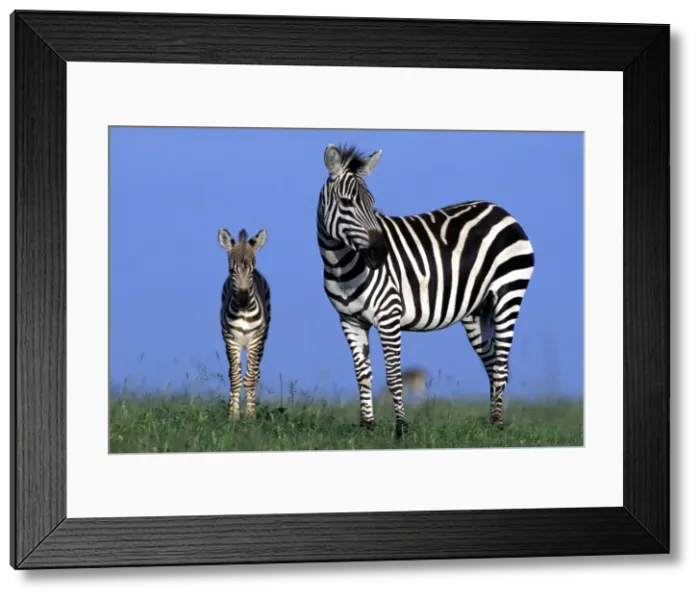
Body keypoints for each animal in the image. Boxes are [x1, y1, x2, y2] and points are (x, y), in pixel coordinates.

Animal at [217, 227, 271, 420]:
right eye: (231, 270)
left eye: (251, 270)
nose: (242, 299)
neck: (243, 312)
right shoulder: (230, 340)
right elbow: (235, 377)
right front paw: (233, 416)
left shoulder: (255, 341)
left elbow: (250, 378)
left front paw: (250, 416)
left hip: (262, 339)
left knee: (255, 373)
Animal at [316, 144, 535, 439]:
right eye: (346, 202)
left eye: (372, 203)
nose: (380, 253)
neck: (341, 265)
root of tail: (500, 210)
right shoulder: (350, 320)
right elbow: (363, 374)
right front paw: (368, 427)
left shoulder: (388, 314)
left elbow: (394, 375)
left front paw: (401, 428)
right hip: (476, 311)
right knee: (492, 363)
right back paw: (492, 422)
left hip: (508, 293)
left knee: (500, 364)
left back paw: (499, 425)